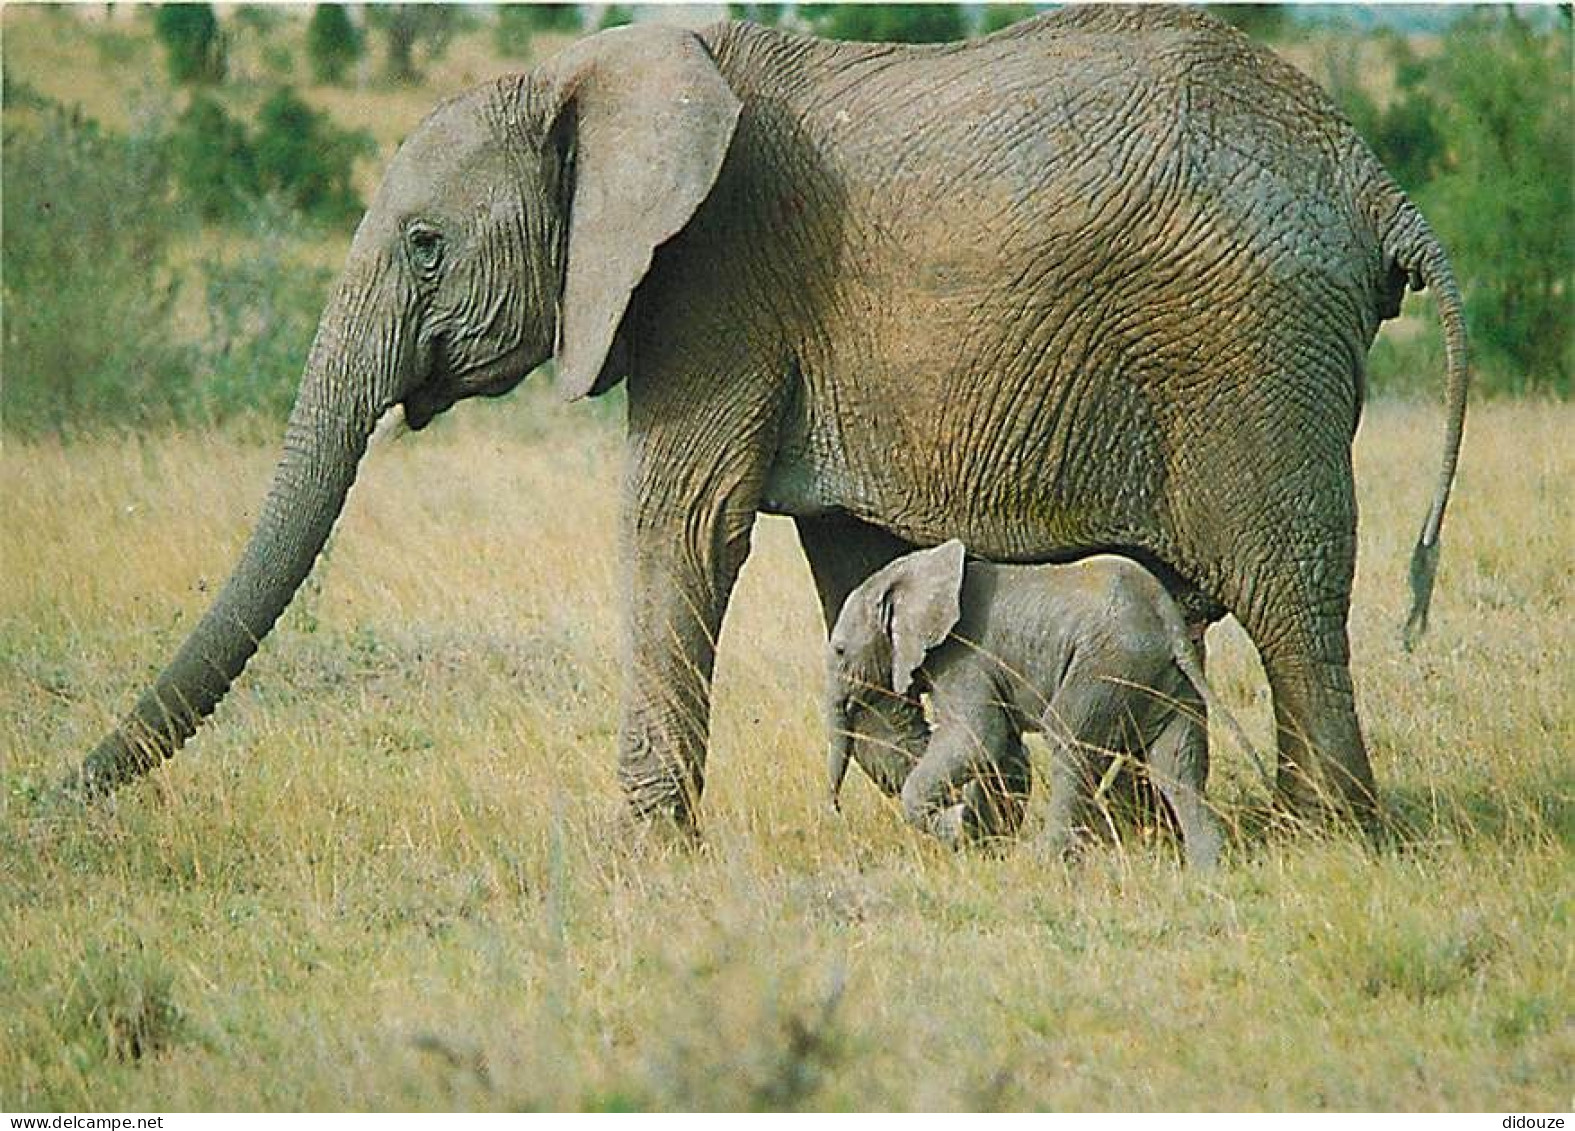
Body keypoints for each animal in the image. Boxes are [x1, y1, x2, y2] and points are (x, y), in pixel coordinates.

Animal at [825, 541, 1253, 869]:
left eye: (840, 650)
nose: (835, 810)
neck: (913, 572)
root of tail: (1167, 620)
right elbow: (1006, 756)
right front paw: (982, 842)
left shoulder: (964, 658)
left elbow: (978, 741)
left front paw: (956, 826)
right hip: (1165, 680)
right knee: (1178, 764)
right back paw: (1207, 871)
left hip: (1104, 668)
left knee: (1069, 748)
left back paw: (1045, 861)